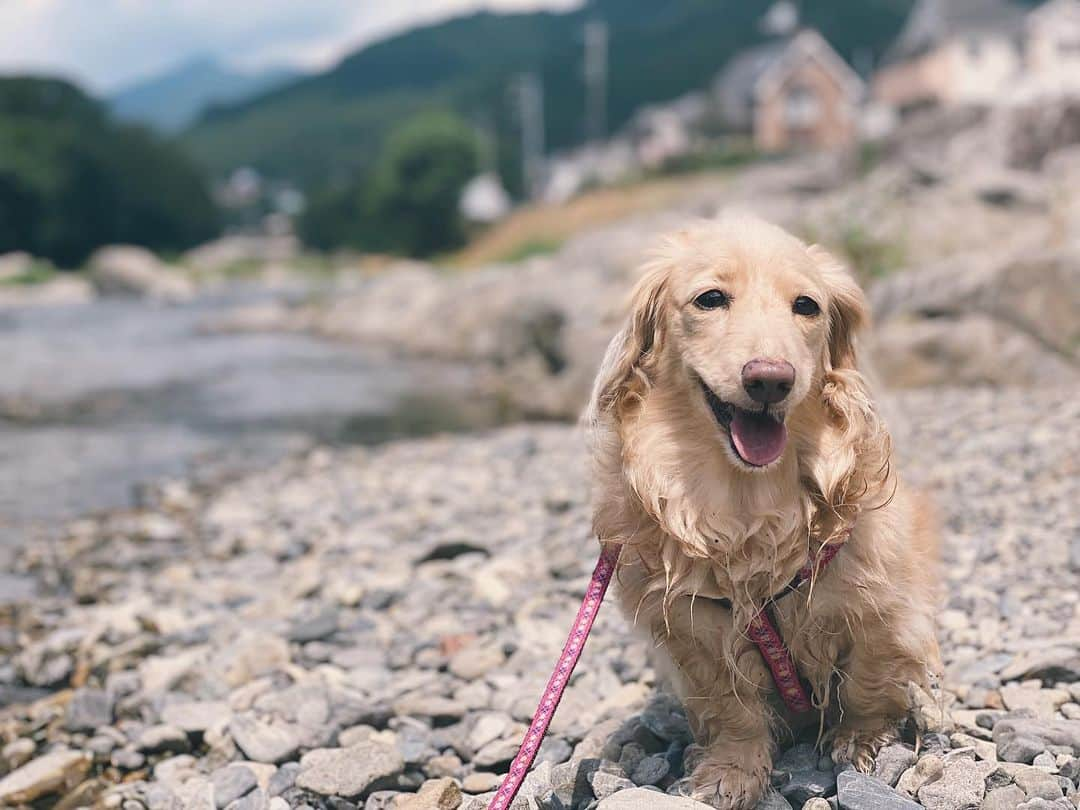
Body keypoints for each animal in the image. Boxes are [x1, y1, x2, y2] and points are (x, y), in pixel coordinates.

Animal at [587, 216, 941, 810]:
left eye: (807, 306)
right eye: (710, 298)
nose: (771, 379)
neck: (748, 501)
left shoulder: (879, 606)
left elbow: (869, 681)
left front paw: (861, 738)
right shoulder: (693, 630)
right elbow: (732, 710)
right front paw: (734, 770)